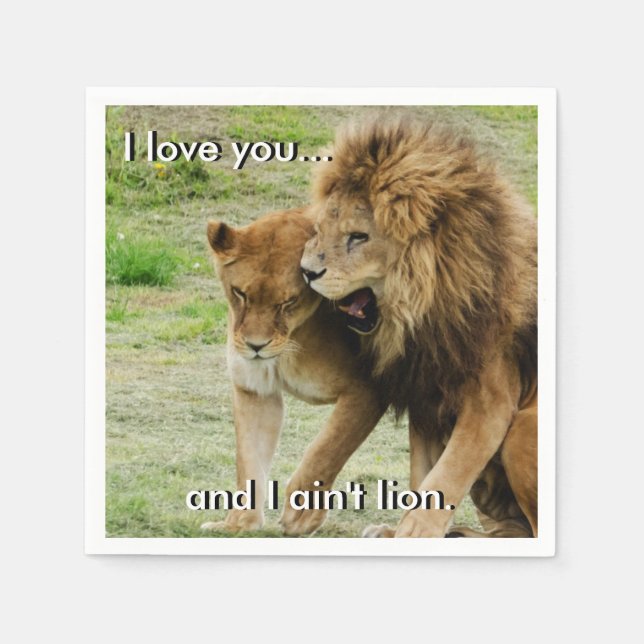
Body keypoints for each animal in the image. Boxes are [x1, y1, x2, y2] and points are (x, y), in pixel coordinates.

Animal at [202, 208, 386, 536]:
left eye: (288, 301)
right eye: (240, 294)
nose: (256, 346)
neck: (293, 338)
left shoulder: (368, 389)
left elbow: (326, 449)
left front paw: (302, 514)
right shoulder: (254, 390)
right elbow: (249, 459)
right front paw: (238, 524)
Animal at [300, 117, 538, 538]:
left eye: (358, 236)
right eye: (320, 228)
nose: (307, 272)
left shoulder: (492, 402)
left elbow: (449, 471)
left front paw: (414, 533)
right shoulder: (427, 393)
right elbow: (422, 472)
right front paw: (400, 531)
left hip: (524, 426)